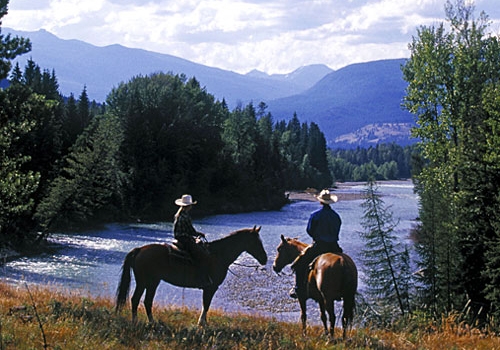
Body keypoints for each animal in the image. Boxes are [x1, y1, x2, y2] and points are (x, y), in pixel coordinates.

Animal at [115, 226, 268, 326]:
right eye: (256, 242)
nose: (265, 259)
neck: (218, 255)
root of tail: (139, 250)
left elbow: (206, 304)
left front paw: (203, 323)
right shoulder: (210, 287)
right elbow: (206, 304)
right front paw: (202, 324)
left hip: (152, 282)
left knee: (146, 301)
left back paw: (151, 322)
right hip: (145, 282)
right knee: (136, 300)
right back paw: (136, 322)